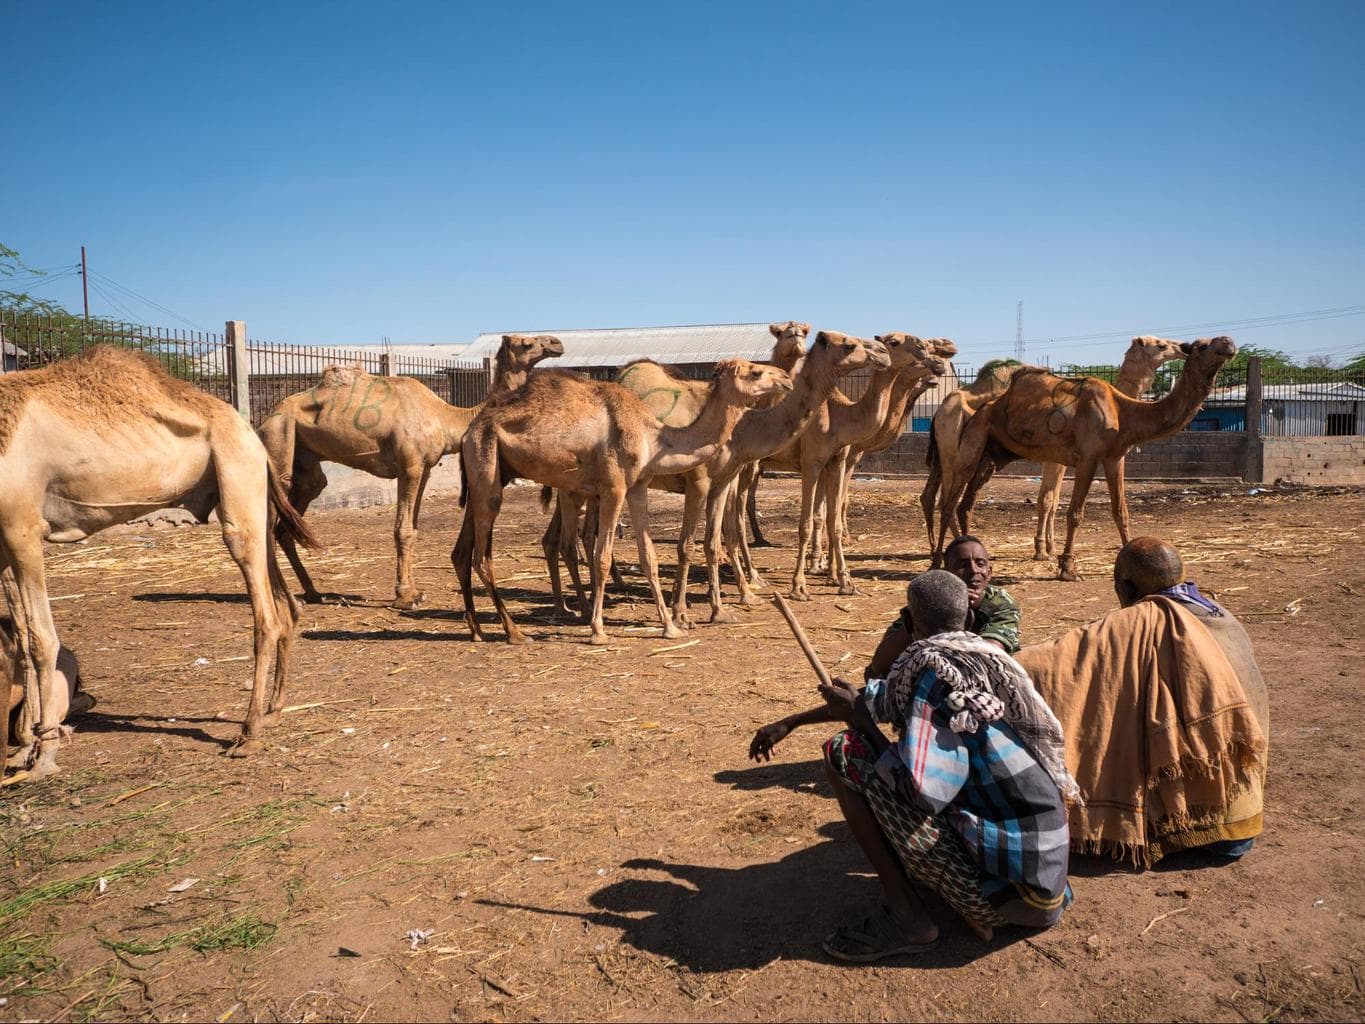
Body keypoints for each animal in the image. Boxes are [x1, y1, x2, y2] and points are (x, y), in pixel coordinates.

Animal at [0, 345, 316, 775]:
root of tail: (252, 433)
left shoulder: (22, 526)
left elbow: (39, 639)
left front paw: (44, 757)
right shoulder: (2, 540)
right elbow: (19, 637)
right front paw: (23, 751)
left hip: (237, 479)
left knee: (265, 613)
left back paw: (248, 734)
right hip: (253, 499)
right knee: (287, 605)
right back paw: (273, 711)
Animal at [257, 337, 562, 608]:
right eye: (526, 342)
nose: (556, 344)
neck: (446, 417)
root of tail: (266, 418)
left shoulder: (425, 469)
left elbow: (413, 528)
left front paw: (415, 591)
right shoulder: (410, 466)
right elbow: (402, 530)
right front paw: (404, 596)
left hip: (305, 460)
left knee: (297, 509)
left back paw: (312, 592)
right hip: (277, 438)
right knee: (273, 508)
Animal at [453, 360, 791, 644]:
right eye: (755, 373)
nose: (786, 378)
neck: (652, 436)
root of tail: (469, 430)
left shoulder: (637, 486)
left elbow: (649, 557)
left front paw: (670, 627)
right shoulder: (614, 486)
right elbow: (602, 557)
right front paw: (598, 631)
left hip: (488, 474)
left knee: (462, 552)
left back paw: (477, 630)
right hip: (488, 470)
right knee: (482, 556)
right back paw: (514, 632)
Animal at [939, 334, 1239, 578]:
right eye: (1201, 346)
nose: (1228, 342)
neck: (1123, 410)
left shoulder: (1115, 458)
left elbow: (1120, 511)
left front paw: (1131, 553)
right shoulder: (1086, 457)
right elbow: (1072, 512)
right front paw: (1065, 567)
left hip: (990, 456)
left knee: (965, 504)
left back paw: (971, 549)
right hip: (970, 445)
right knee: (947, 502)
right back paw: (939, 560)